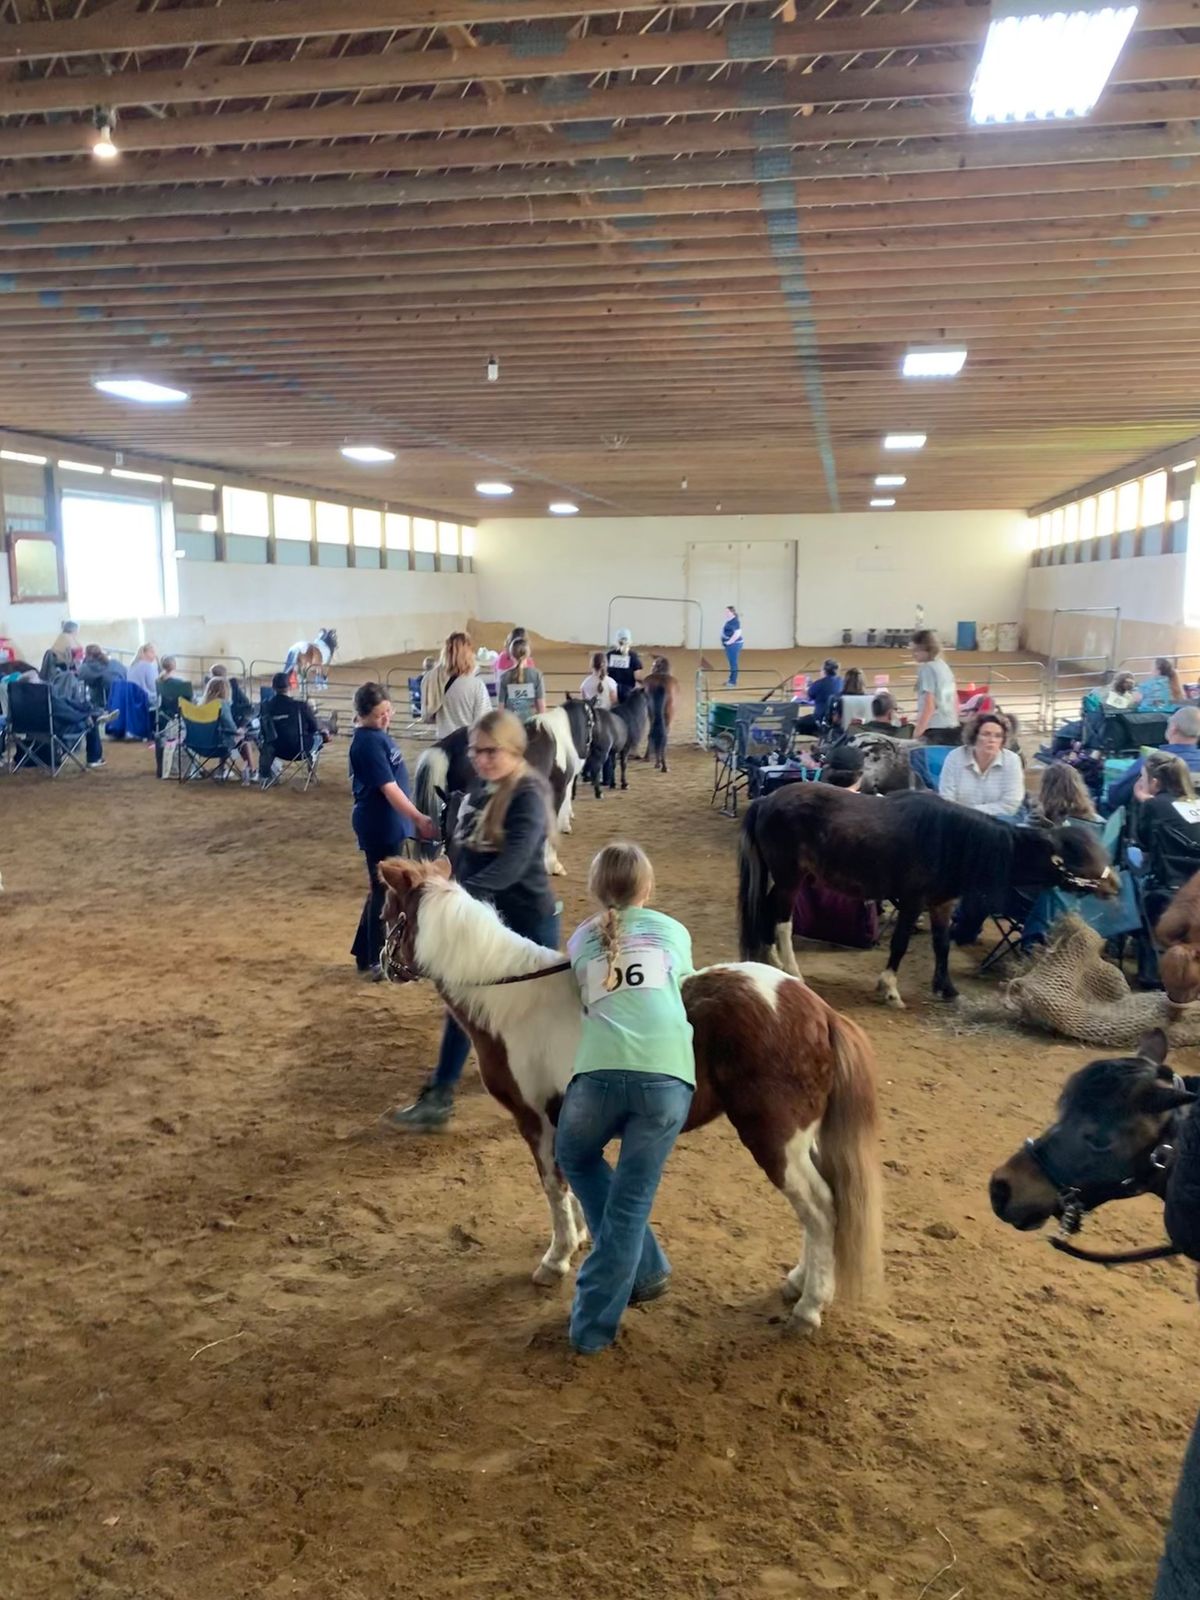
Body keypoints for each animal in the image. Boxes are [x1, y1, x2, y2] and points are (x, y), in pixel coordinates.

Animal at [380, 857, 889, 1331]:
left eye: (387, 912)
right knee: (824, 1206)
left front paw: (556, 1258)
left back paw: (808, 1307)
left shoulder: (536, 1122)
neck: (514, 1006)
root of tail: (820, 1012)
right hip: (802, 1141)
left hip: (775, 1140)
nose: (383, 966)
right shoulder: (567, 1124)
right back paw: (799, 1282)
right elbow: (576, 1187)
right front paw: (582, 1239)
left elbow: (554, 1188)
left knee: (821, 1209)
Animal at [739, 790, 1126, 1011]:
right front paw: (890, 990)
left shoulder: (942, 904)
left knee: (768, 914)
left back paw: (771, 963)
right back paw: (793, 971)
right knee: (783, 921)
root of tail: (766, 800)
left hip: (788, 878)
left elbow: (942, 945)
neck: (949, 838)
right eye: (1074, 855)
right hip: (790, 878)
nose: (1116, 885)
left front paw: (947, 989)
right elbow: (899, 943)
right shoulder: (913, 901)